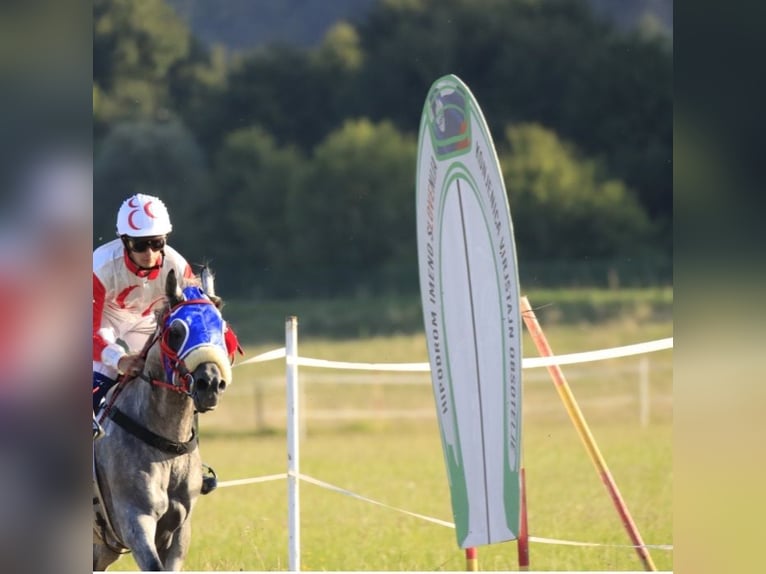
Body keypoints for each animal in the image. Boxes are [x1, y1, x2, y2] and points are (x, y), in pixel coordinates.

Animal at [94, 272, 231, 572]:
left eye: (222, 329)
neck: (166, 443)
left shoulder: (178, 528)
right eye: (176, 332)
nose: (210, 383)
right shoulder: (135, 518)